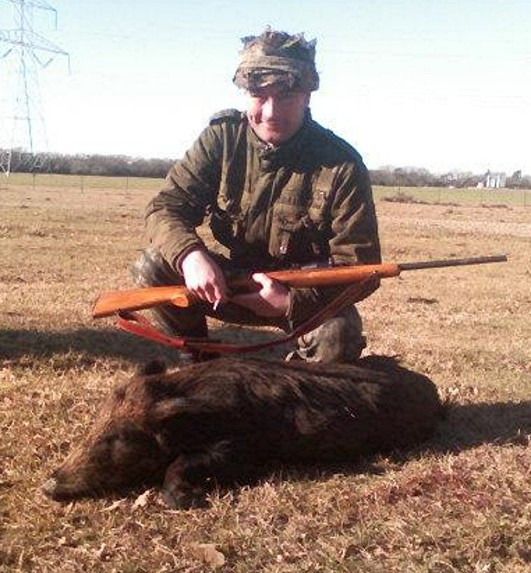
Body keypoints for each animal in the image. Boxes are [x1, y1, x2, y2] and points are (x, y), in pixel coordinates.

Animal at [42, 356, 443, 508]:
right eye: (95, 423)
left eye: (117, 438)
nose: (46, 485)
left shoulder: (244, 450)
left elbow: (182, 464)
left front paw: (188, 501)